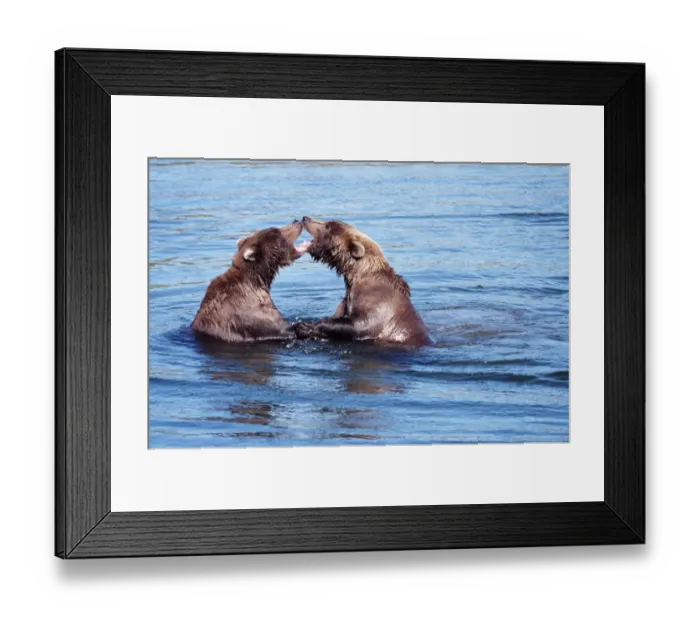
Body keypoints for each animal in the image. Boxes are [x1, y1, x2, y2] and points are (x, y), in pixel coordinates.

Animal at [293, 217, 433, 346]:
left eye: (329, 226)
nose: (306, 218)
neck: (357, 275)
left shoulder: (378, 303)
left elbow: (360, 325)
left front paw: (305, 326)